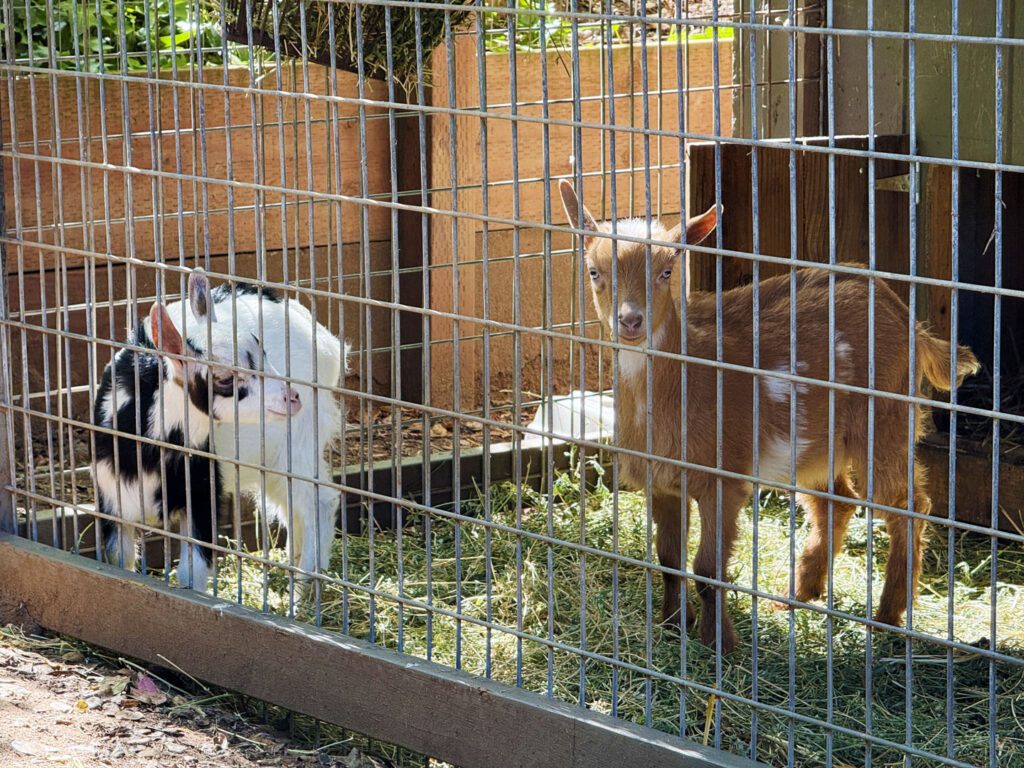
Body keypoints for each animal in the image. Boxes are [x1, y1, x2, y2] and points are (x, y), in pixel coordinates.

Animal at [92, 270, 347, 590]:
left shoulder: (203, 495)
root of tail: (326, 343)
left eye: (263, 353)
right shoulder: (111, 501)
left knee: (319, 501)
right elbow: (118, 561)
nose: (292, 397)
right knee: (291, 505)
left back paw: (305, 590)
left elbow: (192, 574)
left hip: (300, 438)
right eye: (225, 379)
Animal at [559, 180, 979, 654]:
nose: (631, 320)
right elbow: (668, 559)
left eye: (667, 271)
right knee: (838, 501)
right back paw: (797, 594)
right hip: (815, 443)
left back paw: (886, 617)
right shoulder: (662, 482)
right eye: (594, 271)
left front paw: (720, 643)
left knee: (907, 506)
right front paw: (673, 624)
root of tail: (911, 323)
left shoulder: (723, 478)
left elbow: (708, 569)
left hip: (887, 417)